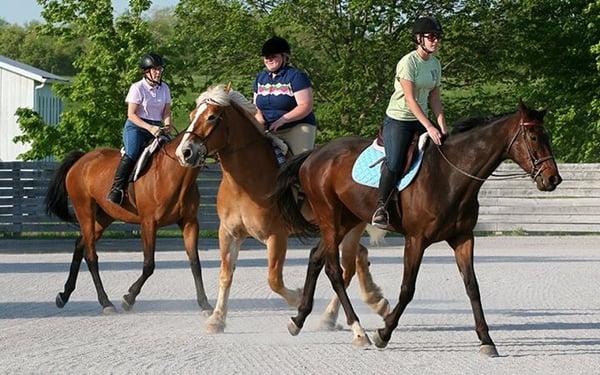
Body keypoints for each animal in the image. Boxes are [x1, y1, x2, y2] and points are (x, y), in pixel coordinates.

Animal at [45, 132, 213, 314]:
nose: (192, 154)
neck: (173, 173)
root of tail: (82, 159)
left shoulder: (189, 222)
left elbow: (195, 263)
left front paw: (205, 304)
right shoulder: (148, 223)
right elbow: (149, 264)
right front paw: (129, 298)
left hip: (104, 217)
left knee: (80, 245)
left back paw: (64, 295)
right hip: (85, 211)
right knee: (90, 256)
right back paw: (106, 303)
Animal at [173, 86, 390, 334]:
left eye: (211, 117)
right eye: (192, 115)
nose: (184, 153)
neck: (245, 183)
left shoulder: (276, 236)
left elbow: (274, 280)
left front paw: (297, 298)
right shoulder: (228, 233)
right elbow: (225, 275)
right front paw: (217, 319)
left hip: (348, 226)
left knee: (348, 267)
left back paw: (331, 316)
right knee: (359, 257)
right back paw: (376, 301)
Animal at [272, 103, 564, 356]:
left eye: (546, 136)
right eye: (533, 137)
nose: (553, 179)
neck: (451, 175)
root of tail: (316, 154)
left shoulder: (463, 238)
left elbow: (472, 286)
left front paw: (486, 340)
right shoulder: (416, 240)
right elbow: (407, 288)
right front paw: (384, 332)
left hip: (347, 220)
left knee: (316, 258)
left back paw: (298, 320)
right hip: (330, 218)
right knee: (333, 270)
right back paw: (359, 331)